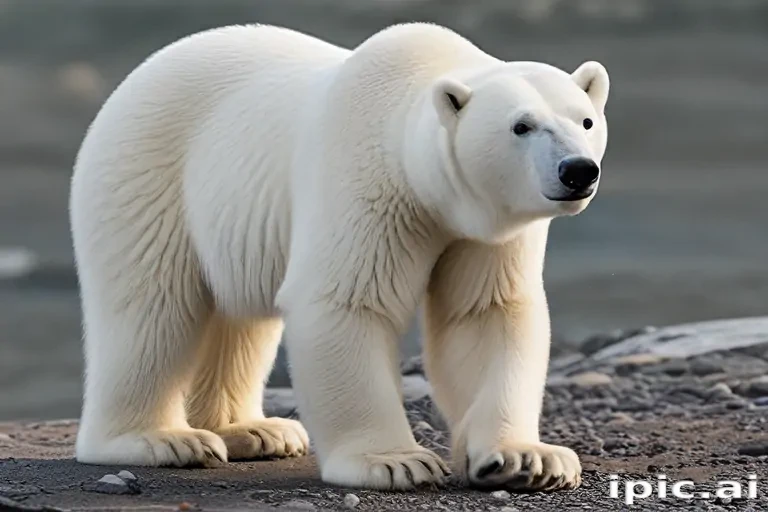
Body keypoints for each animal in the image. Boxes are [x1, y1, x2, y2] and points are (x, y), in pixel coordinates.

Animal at [69, 22, 609, 492]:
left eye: (586, 119)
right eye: (522, 126)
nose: (578, 170)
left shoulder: (487, 230)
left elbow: (485, 314)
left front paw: (527, 458)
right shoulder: (367, 184)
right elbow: (346, 303)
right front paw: (396, 462)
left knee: (237, 318)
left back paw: (253, 431)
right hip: (148, 177)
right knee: (152, 309)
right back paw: (159, 439)